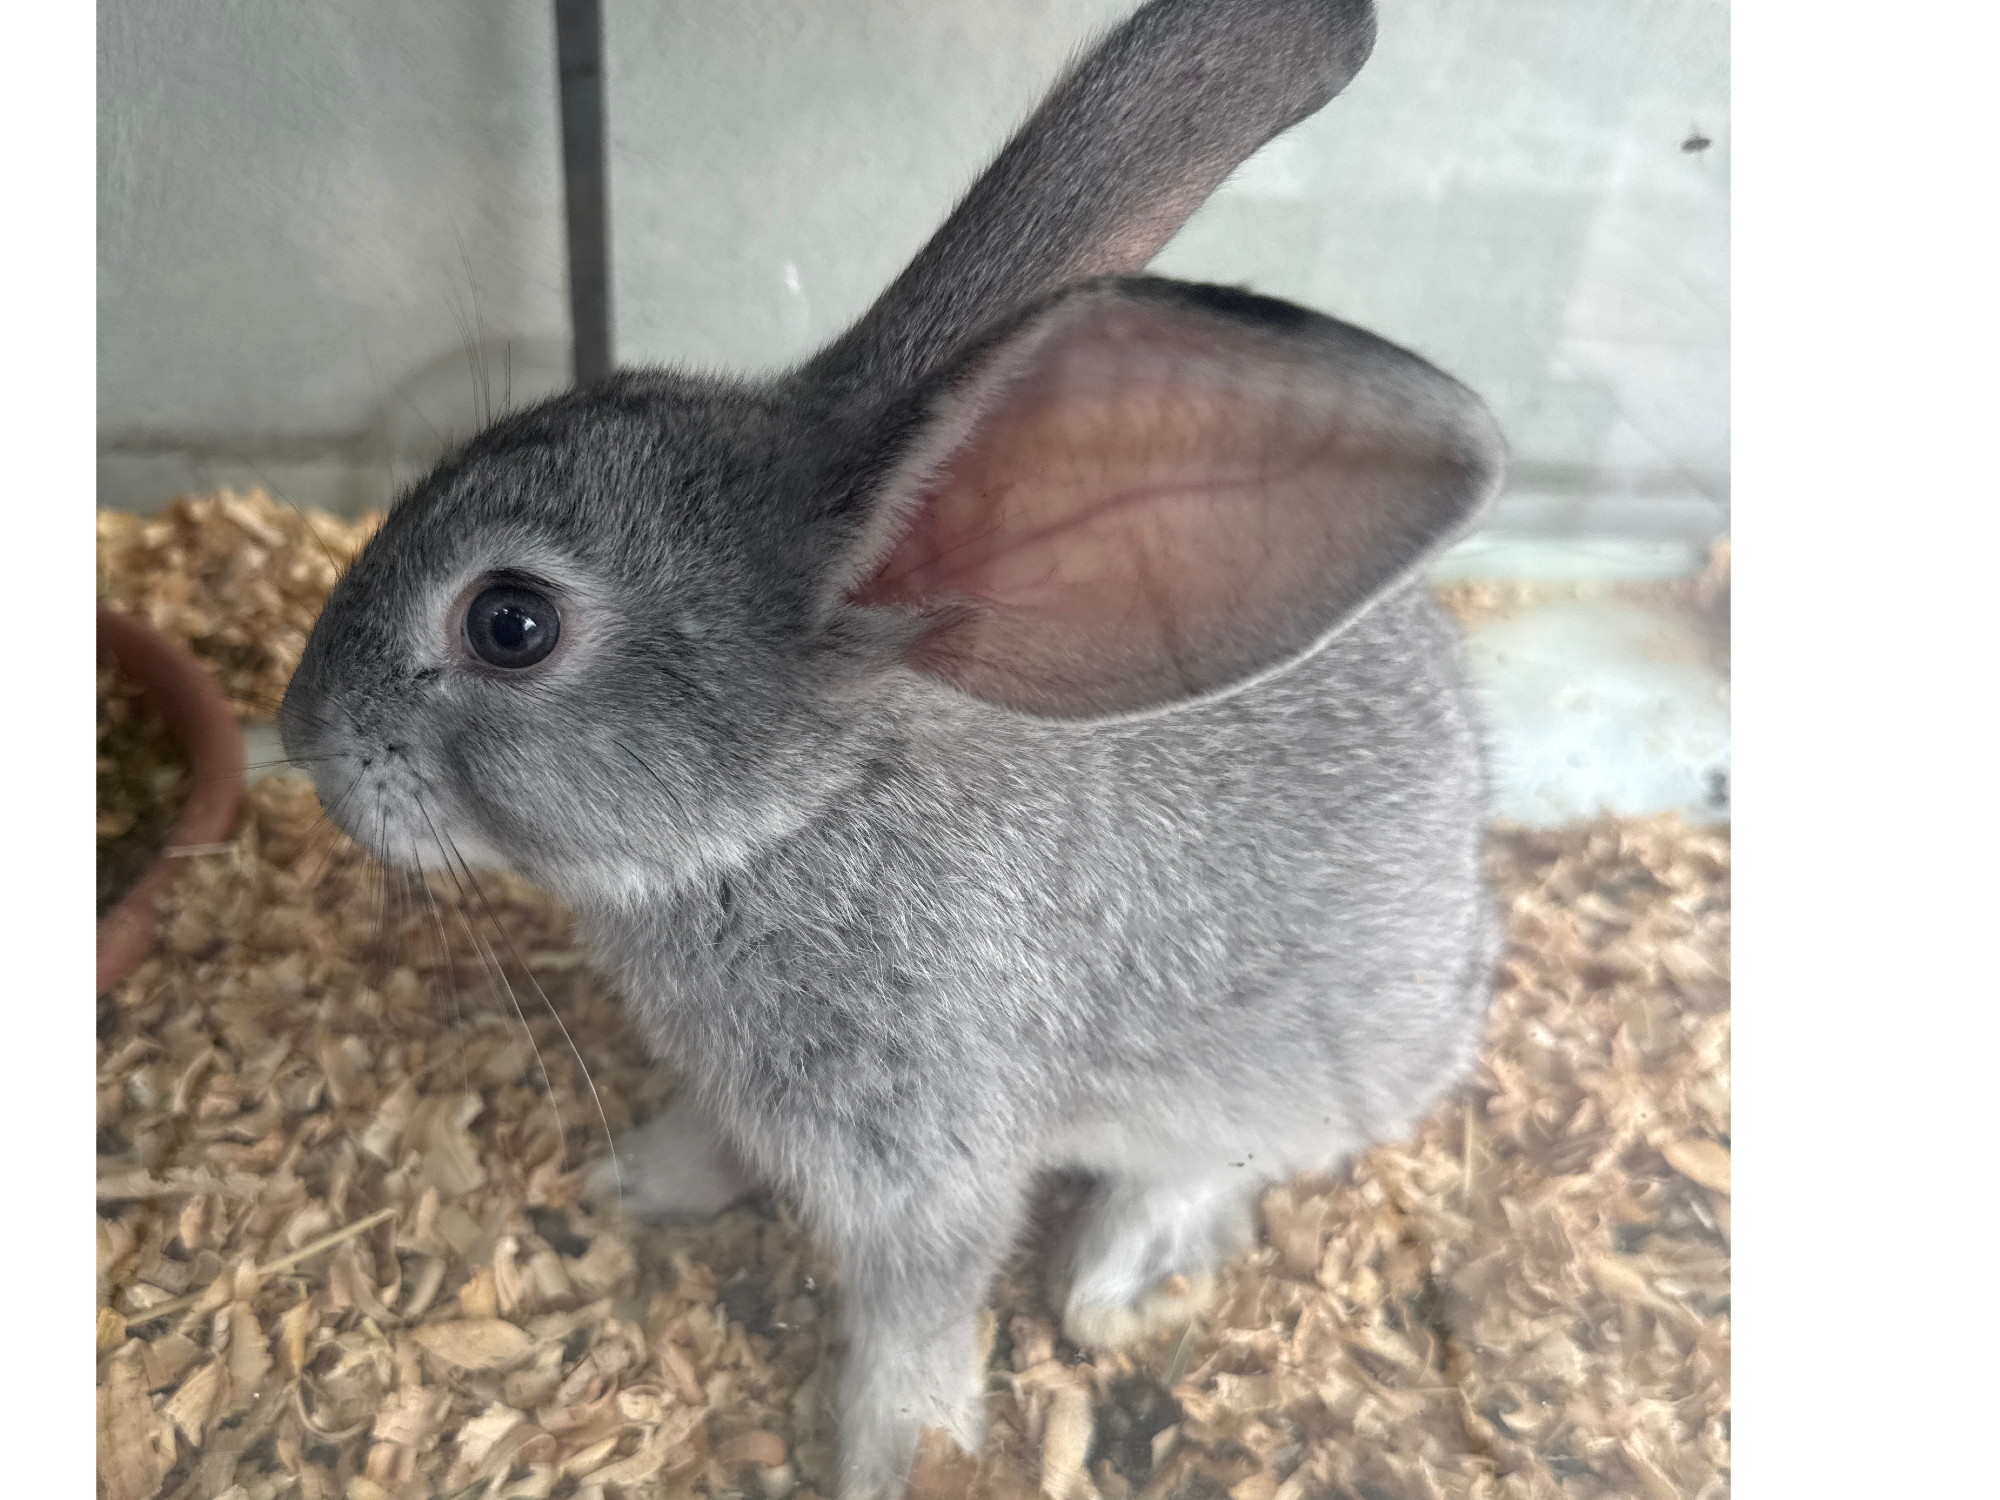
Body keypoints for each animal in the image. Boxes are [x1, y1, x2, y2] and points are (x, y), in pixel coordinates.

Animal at [279, 0, 1506, 1494]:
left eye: (511, 623)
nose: (298, 731)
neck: (792, 813)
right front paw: (631, 1183)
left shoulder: (923, 1152)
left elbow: (917, 1307)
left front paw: (897, 1450)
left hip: (1280, 1079)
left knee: (1209, 1168)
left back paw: (1113, 1286)